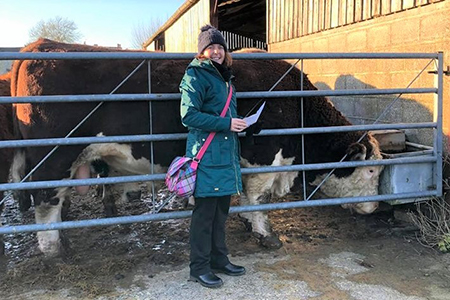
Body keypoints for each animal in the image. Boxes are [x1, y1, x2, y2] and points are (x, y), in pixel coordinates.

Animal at [11, 38, 384, 256]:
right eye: (370, 169)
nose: (374, 208)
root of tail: (39, 46)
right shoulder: (264, 158)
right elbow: (257, 198)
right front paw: (264, 232)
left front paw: (247, 222)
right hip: (53, 157)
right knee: (46, 197)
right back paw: (53, 248)